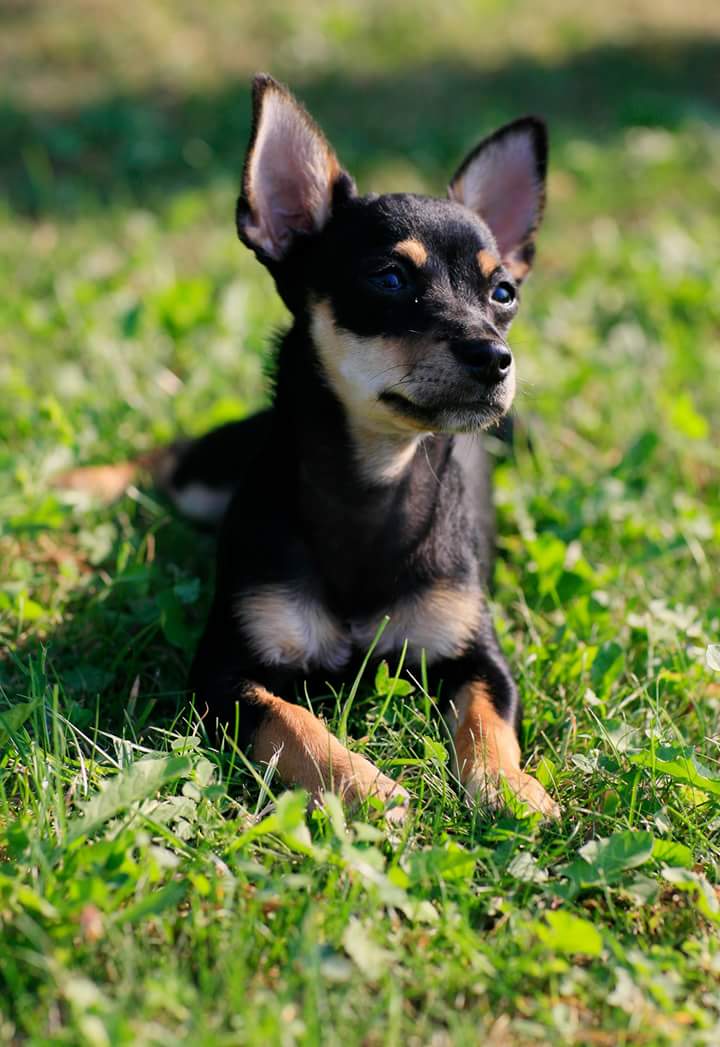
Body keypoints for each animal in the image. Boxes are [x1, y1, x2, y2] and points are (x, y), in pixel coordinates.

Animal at [60, 74, 559, 822]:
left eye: (503, 293)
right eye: (389, 280)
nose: (495, 358)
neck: (374, 481)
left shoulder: (479, 657)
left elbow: (487, 721)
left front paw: (512, 788)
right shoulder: (225, 672)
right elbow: (294, 722)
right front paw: (365, 785)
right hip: (209, 475)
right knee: (167, 459)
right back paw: (74, 482)